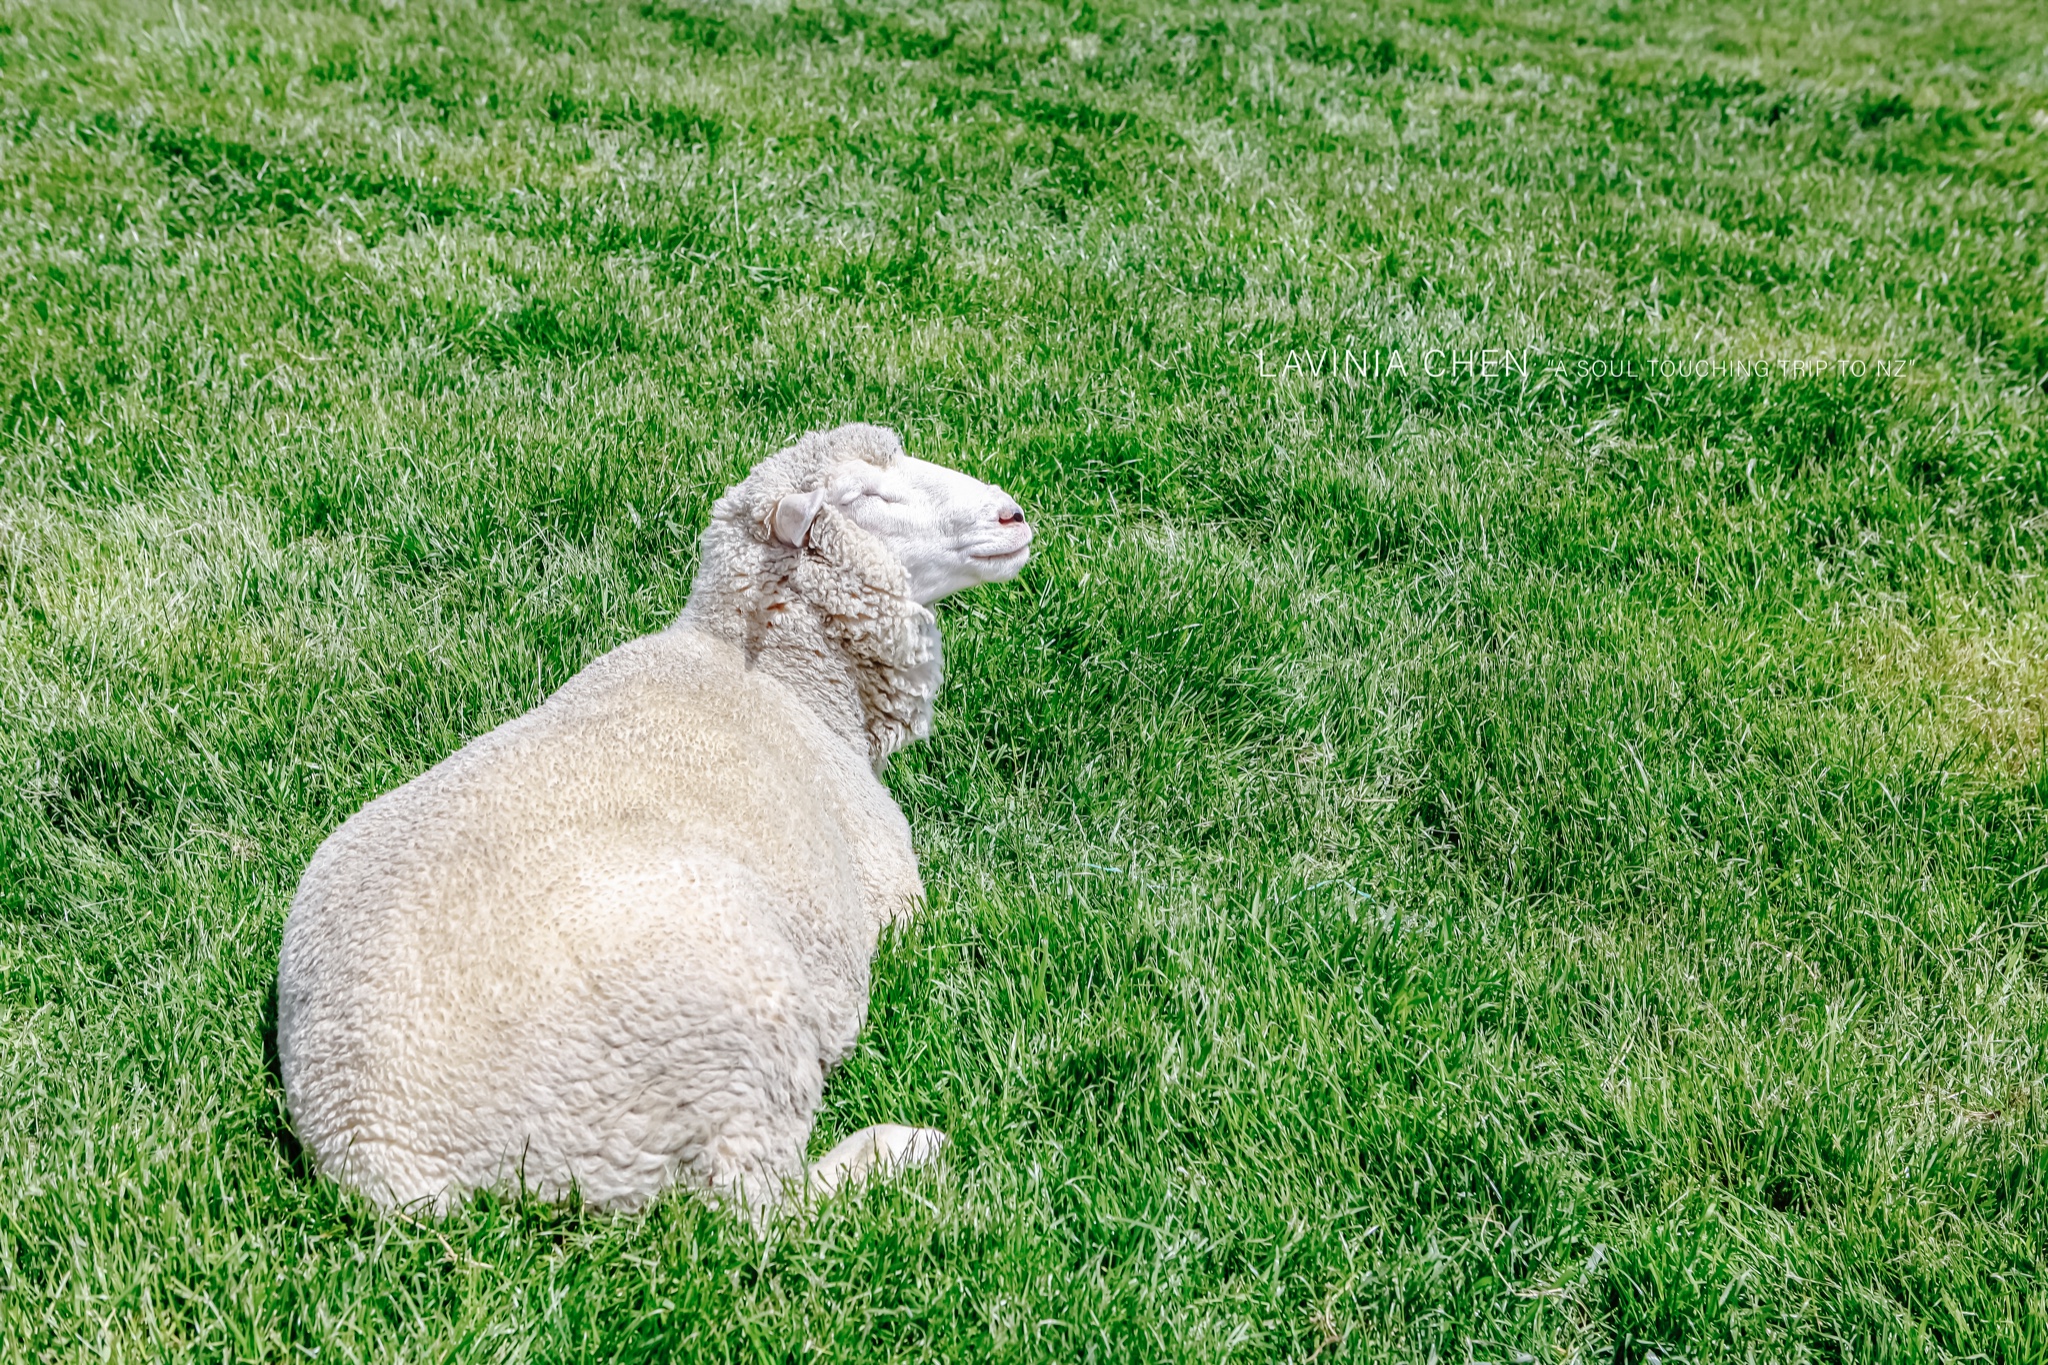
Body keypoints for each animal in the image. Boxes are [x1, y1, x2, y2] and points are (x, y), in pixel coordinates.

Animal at [280, 423, 1032, 1219]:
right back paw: (903, 1148)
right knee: (762, 1204)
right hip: (732, 1038)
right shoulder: (889, 891)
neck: (779, 678)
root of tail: (379, 1152)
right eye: (864, 498)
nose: (1013, 514)